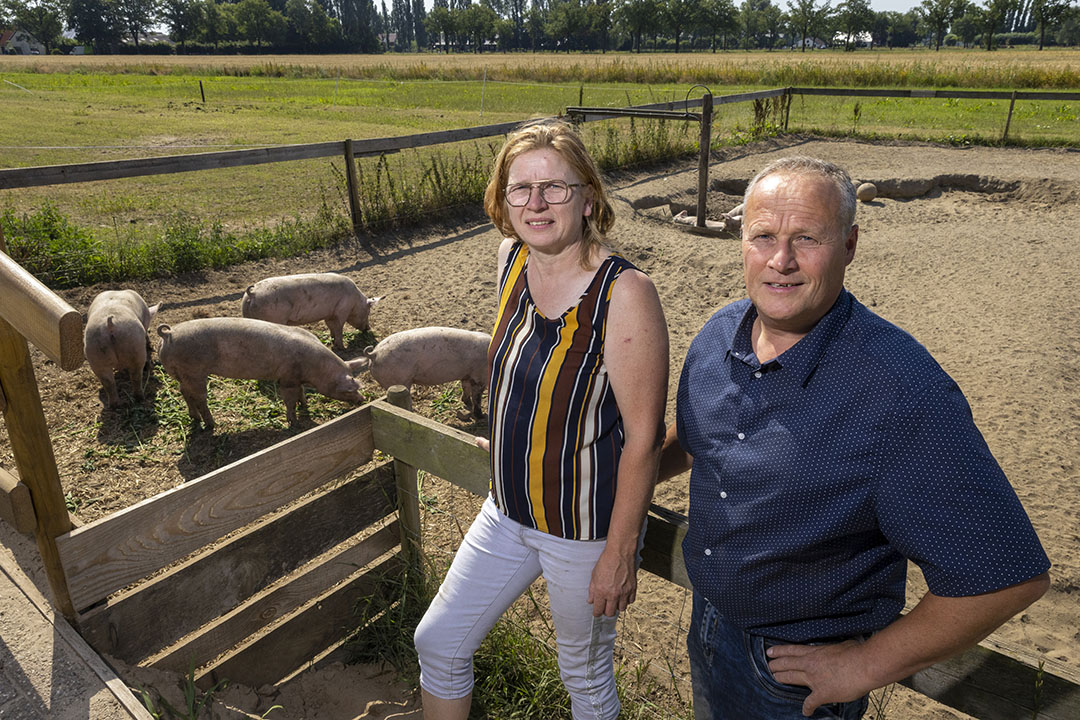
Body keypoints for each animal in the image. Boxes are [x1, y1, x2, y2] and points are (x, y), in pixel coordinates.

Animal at [155, 319, 367, 431]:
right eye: (349, 390)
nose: (362, 399)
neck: (315, 368)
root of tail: (168, 334)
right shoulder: (287, 379)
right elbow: (289, 400)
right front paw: (294, 422)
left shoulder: (296, 379)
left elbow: (301, 393)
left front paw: (304, 405)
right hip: (194, 372)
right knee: (199, 398)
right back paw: (211, 424)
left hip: (182, 374)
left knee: (184, 393)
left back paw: (195, 419)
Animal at [241, 273, 384, 351]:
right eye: (368, 311)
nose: (368, 328)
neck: (355, 302)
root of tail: (252, 293)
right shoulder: (341, 311)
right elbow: (339, 328)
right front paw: (342, 348)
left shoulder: (329, 314)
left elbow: (331, 327)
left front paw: (332, 342)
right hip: (274, 318)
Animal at [356, 328, 492, 423]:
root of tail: (374, 353)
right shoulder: (479, 377)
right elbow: (477, 398)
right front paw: (482, 416)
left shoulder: (467, 375)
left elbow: (466, 389)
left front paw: (466, 403)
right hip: (400, 380)